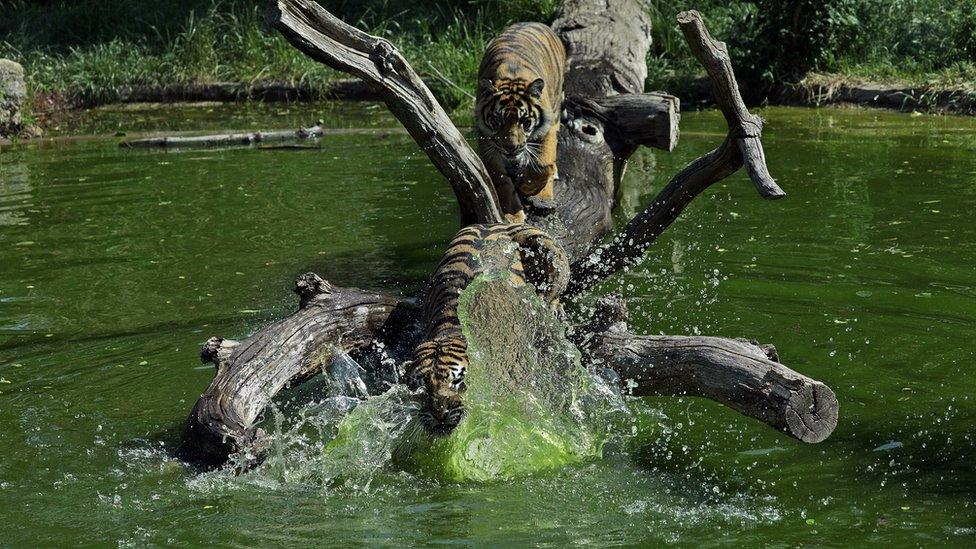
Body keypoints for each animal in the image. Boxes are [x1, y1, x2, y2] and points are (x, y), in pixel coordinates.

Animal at [476, 22, 568, 222]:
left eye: (525, 122)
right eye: (496, 121)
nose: (511, 147)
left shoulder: (547, 129)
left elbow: (542, 165)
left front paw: (528, 187)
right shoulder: (486, 139)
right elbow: (500, 179)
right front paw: (512, 214)